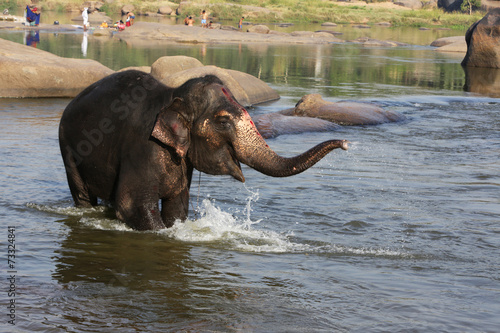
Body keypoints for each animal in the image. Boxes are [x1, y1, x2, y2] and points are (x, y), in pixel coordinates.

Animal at [58, 70, 348, 228]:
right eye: (223, 122)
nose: (346, 144)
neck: (173, 96)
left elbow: (177, 209)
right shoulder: (141, 148)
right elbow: (132, 207)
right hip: (67, 148)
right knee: (82, 194)